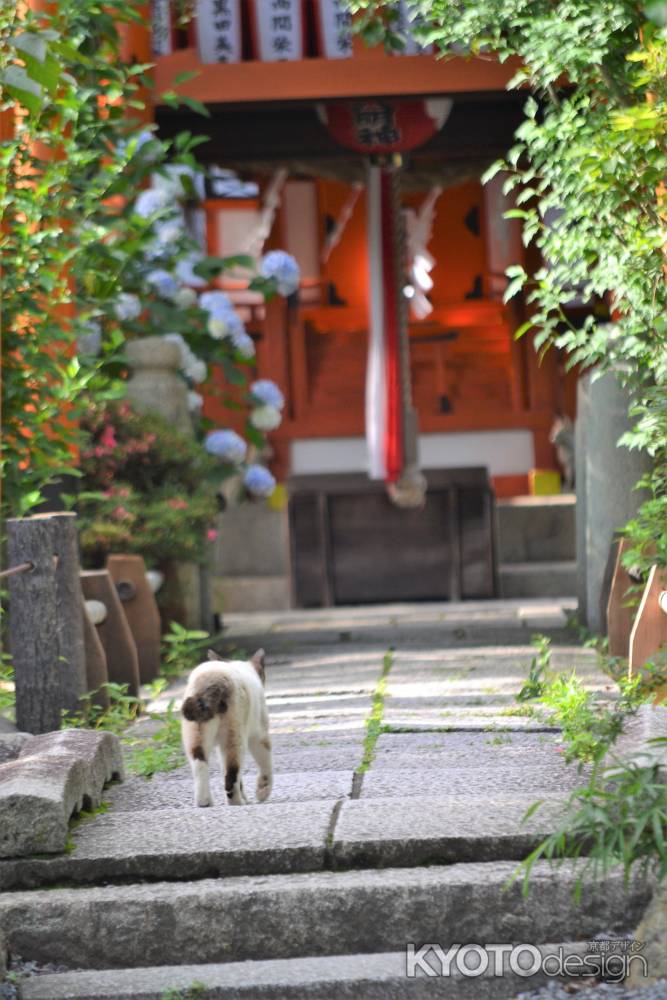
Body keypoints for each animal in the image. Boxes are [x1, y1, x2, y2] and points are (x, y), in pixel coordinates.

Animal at [179, 652, 272, 808]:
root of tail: (212, 679)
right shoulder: (259, 736)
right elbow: (265, 764)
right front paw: (262, 793)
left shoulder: (219, 749)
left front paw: (247, 797)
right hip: (235, 737)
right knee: (232, 772)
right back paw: (236, 803)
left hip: (195, 737)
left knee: (200, 765)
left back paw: (205, 802)